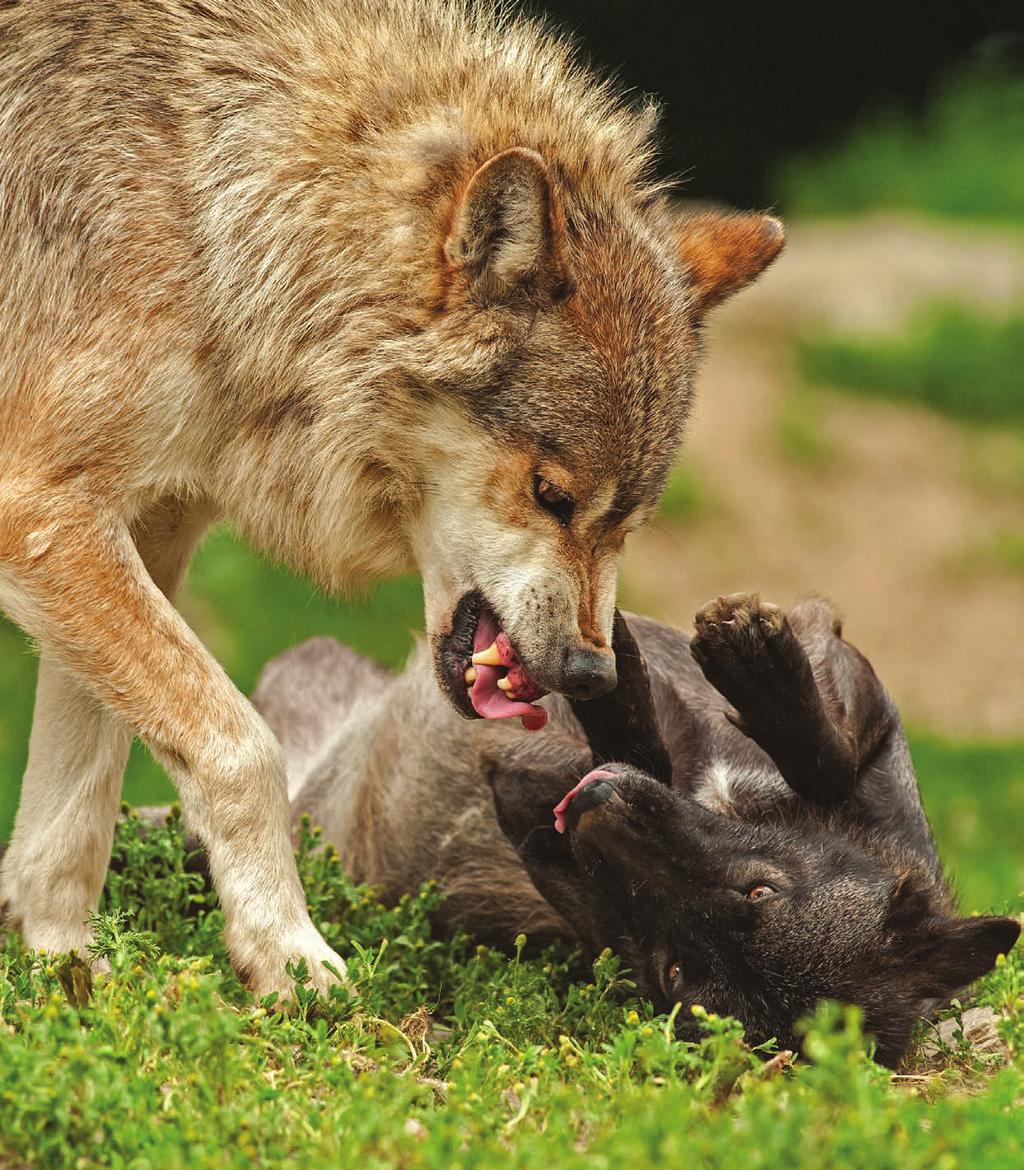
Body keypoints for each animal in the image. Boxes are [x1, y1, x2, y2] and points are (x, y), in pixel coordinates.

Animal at [2, 0, 786, 992]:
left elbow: (78, 798)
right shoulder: (41, 510)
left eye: (628, 524)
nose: (590, 673)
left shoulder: (142, 527)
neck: (216, 220)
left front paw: (60, 969)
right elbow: (240, 748)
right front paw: (288, 958)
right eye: (550, 494)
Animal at [253, 599, 1015, 1067]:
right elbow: (825, 754)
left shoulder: (547, 834)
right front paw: (755, 669)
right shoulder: (849, 678)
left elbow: (631, 751)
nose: (592, 803)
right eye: (762, 890)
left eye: (675, 971)